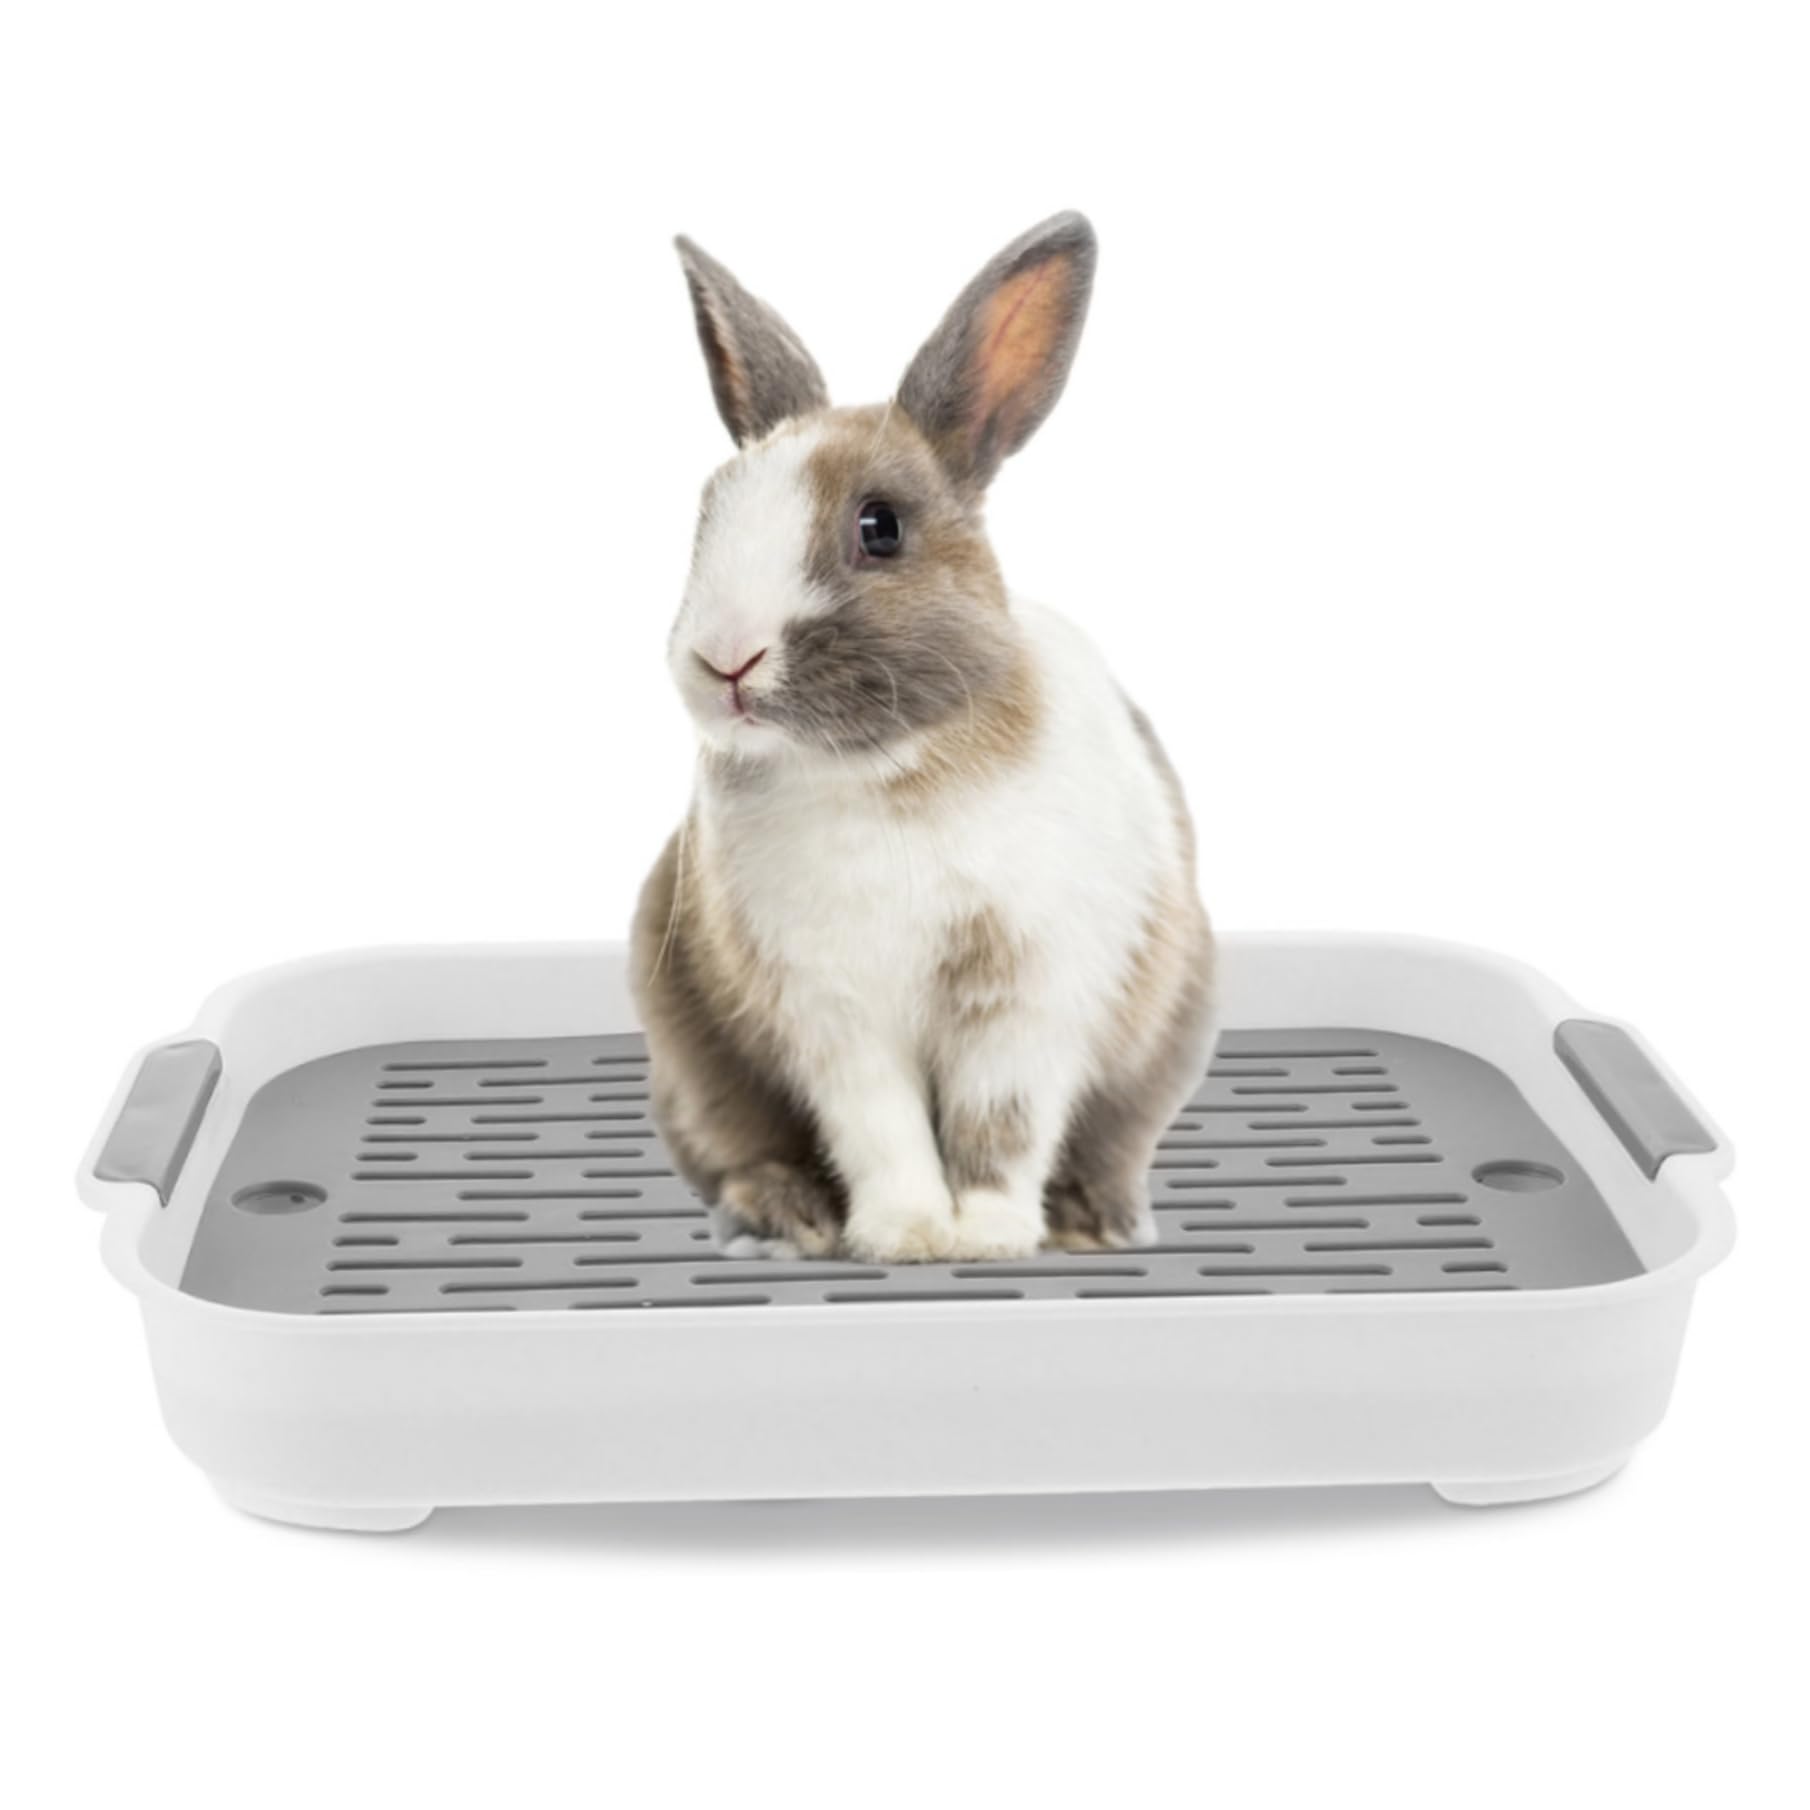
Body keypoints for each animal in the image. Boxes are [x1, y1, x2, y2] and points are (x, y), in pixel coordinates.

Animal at [630, 211, 1215, 1264]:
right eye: (707, 518)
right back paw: (789, 1216)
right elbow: (882, 1127)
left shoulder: (1025, 999)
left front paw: (987, 1236)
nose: (724, 660)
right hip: (692, 1067)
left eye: (880, 528)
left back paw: (1095, 1222)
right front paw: (904, 1235)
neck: (886, 772)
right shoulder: (834, 1015)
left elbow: (1001, 1125)